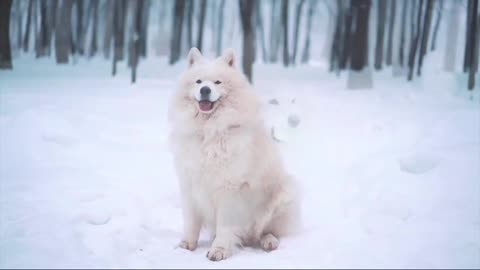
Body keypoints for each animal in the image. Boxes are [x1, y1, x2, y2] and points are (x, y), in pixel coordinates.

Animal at [167, 47, 298, 260]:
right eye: (198, 81)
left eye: (217, 82)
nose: (205, 90)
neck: (209, 132)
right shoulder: (190, 183)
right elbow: (191, 221)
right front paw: (187, 245)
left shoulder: (229, 189)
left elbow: (225, 225)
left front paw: (219, 250)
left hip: (284, 195)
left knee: (266, 230)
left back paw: (269, 241)